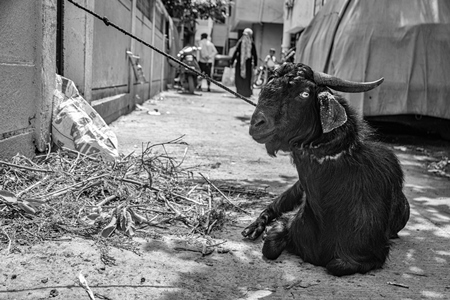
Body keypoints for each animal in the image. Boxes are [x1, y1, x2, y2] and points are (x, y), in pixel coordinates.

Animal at [244, 63, 410, 276]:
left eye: (304, 94)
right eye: (266, 85)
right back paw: (253, 228)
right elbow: (270, 246)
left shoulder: (371, 254)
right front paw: (265, 234)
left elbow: (335, 265)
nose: (256, 124)